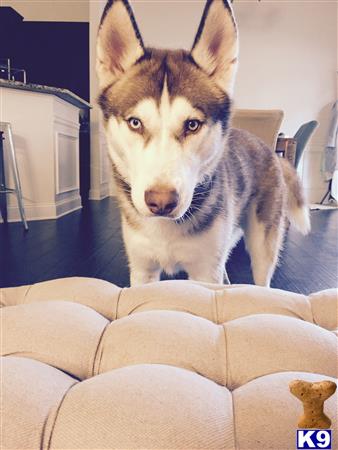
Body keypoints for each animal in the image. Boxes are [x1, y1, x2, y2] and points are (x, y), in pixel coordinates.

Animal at [95, 0, 308, 286]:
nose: (161, 202)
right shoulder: (142, 271)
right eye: (135, 122)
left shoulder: (204, 274)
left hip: (262, 243)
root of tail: (269, 148)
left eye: (192, 125)